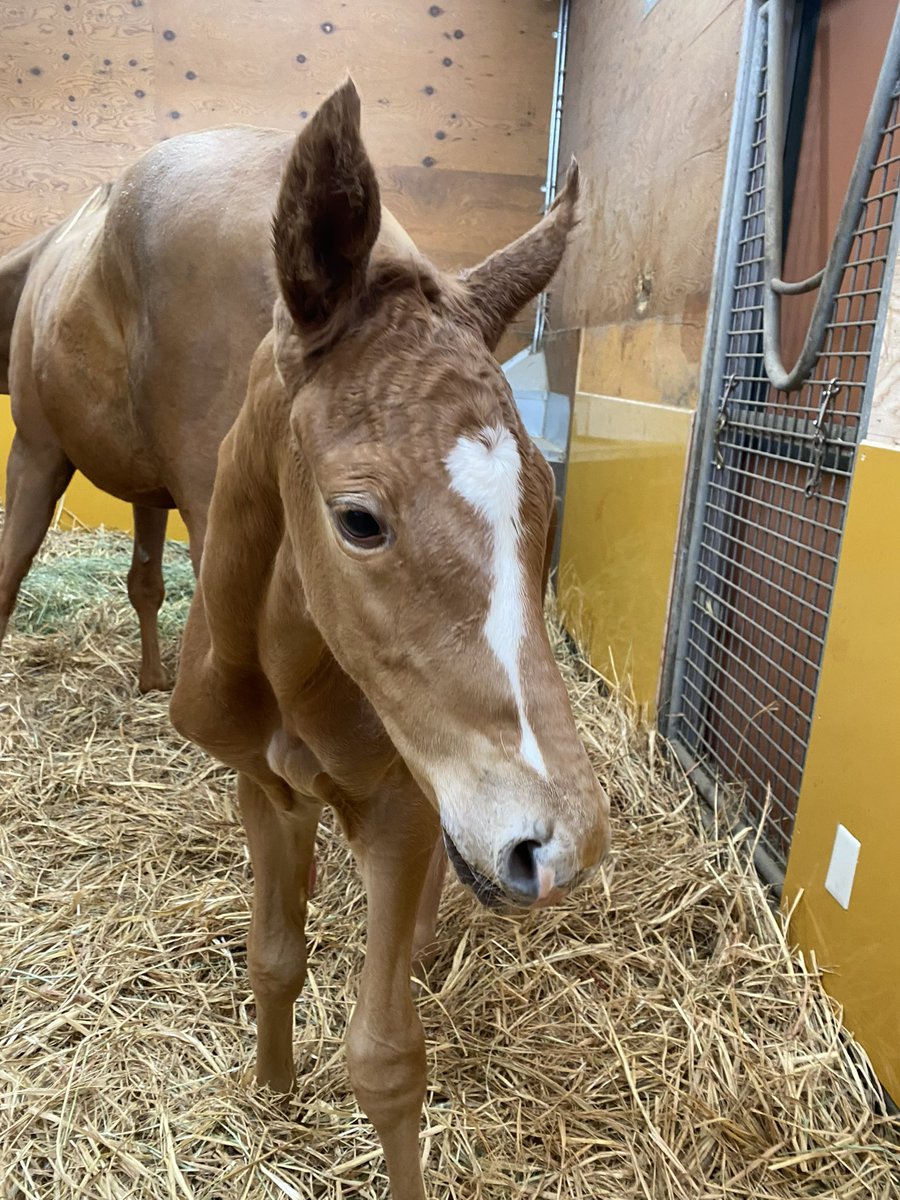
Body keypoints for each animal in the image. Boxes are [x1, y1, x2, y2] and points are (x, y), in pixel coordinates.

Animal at [170, 80, 611, 1200]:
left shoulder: (407, 807)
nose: (563, 845)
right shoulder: (262, 786)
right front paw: (273, 1095)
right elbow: (274, 956)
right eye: (360, 519)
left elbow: (386, 1059)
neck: (289, 679)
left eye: (547, 504)